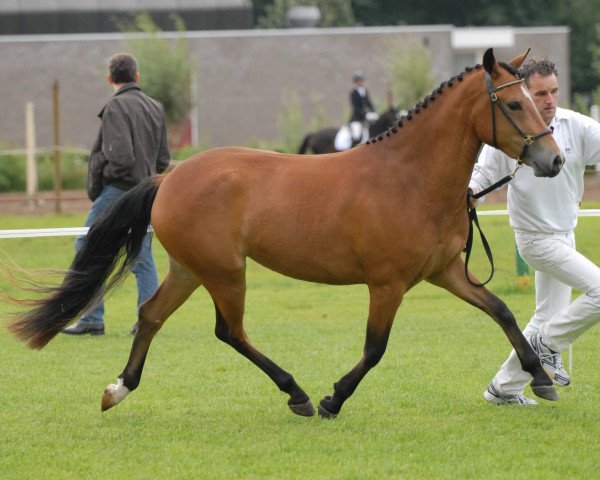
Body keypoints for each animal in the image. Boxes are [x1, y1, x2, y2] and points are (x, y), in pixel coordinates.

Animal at [8, 47, 564, 418]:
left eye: (535, 98)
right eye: (514, 104)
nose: (553, 160)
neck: (409, 177)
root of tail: (170, 177)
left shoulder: (444, 273)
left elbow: (502, 312)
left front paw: (540, 379)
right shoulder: (386, 285)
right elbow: (375, 349)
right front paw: (332, 398)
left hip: (191, 269)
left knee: (151, 315)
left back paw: (119, 388)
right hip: (225, 272)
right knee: (229, 331)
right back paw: (296, 393)